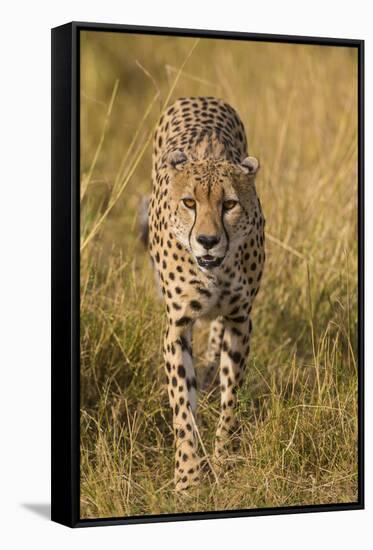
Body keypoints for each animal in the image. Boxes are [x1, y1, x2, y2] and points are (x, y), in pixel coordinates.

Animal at [147, 97, 264, 494]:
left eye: (229, 204)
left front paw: (224, 460)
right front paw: (188, 477)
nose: (208, 240)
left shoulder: (240, 319)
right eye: (189, 203)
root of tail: (200, 97)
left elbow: (231, 397)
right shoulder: (177, 325)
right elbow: (183, 406)